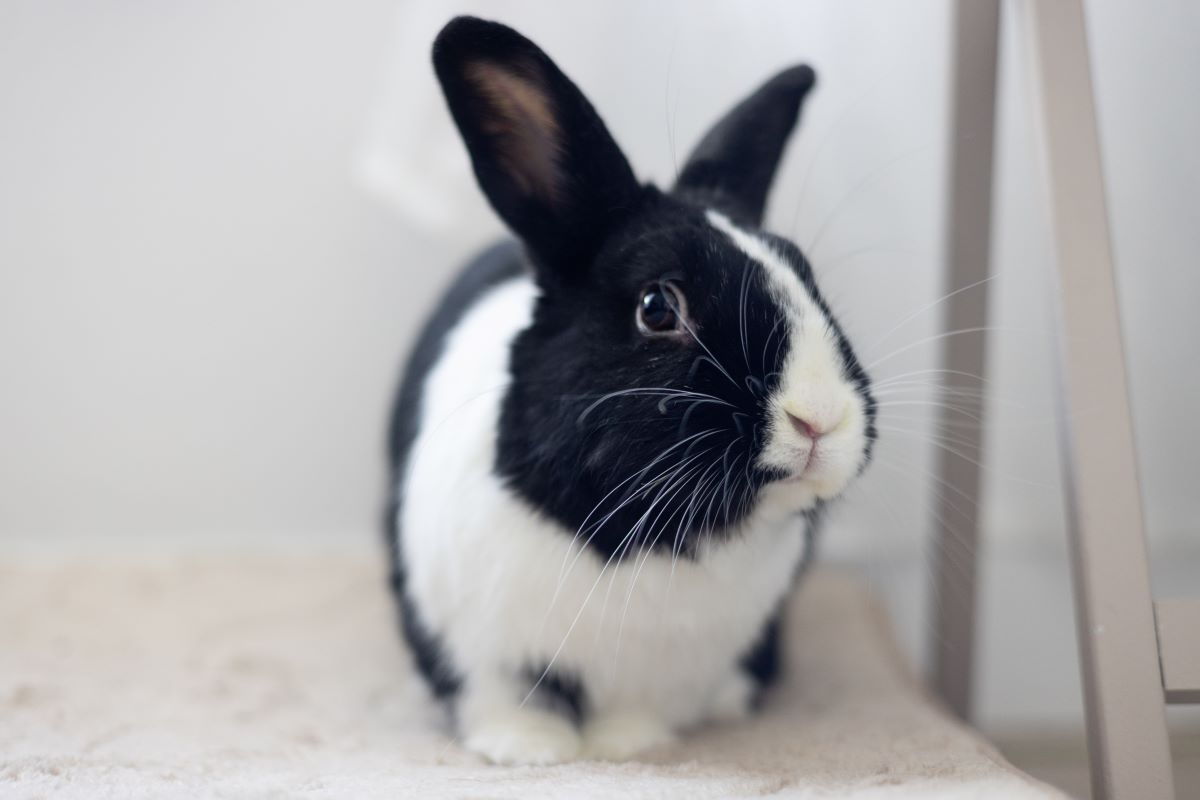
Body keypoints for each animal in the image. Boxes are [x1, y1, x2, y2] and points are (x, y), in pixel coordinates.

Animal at [388, 15, 878, 767]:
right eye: (657, 307)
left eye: (805, 271)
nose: (820, 418)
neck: (648, 530)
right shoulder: (475, 648)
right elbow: (506, 698)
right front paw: (531, 752)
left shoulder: (664, 669)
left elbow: (637, 709)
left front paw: (628, 748)